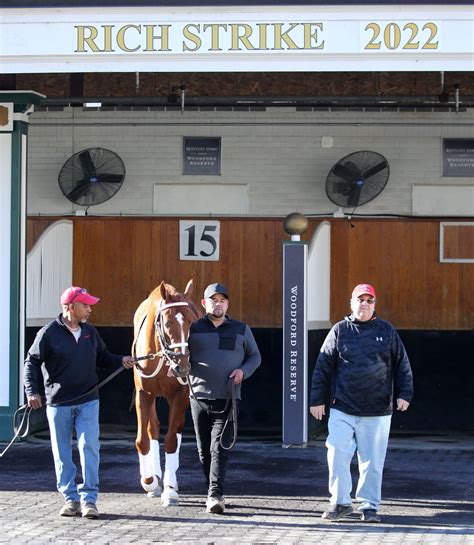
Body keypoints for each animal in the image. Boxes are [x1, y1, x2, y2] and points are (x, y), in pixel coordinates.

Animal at [132, 280, 201, 506]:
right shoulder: (143, 394)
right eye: (168, 323)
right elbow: (143, 439)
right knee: (153, 428)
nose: (183, 366)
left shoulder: (180, 394)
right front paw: (149, 481)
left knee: (176, 431)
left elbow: (171, 440)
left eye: (191, 323)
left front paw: (170, 490)